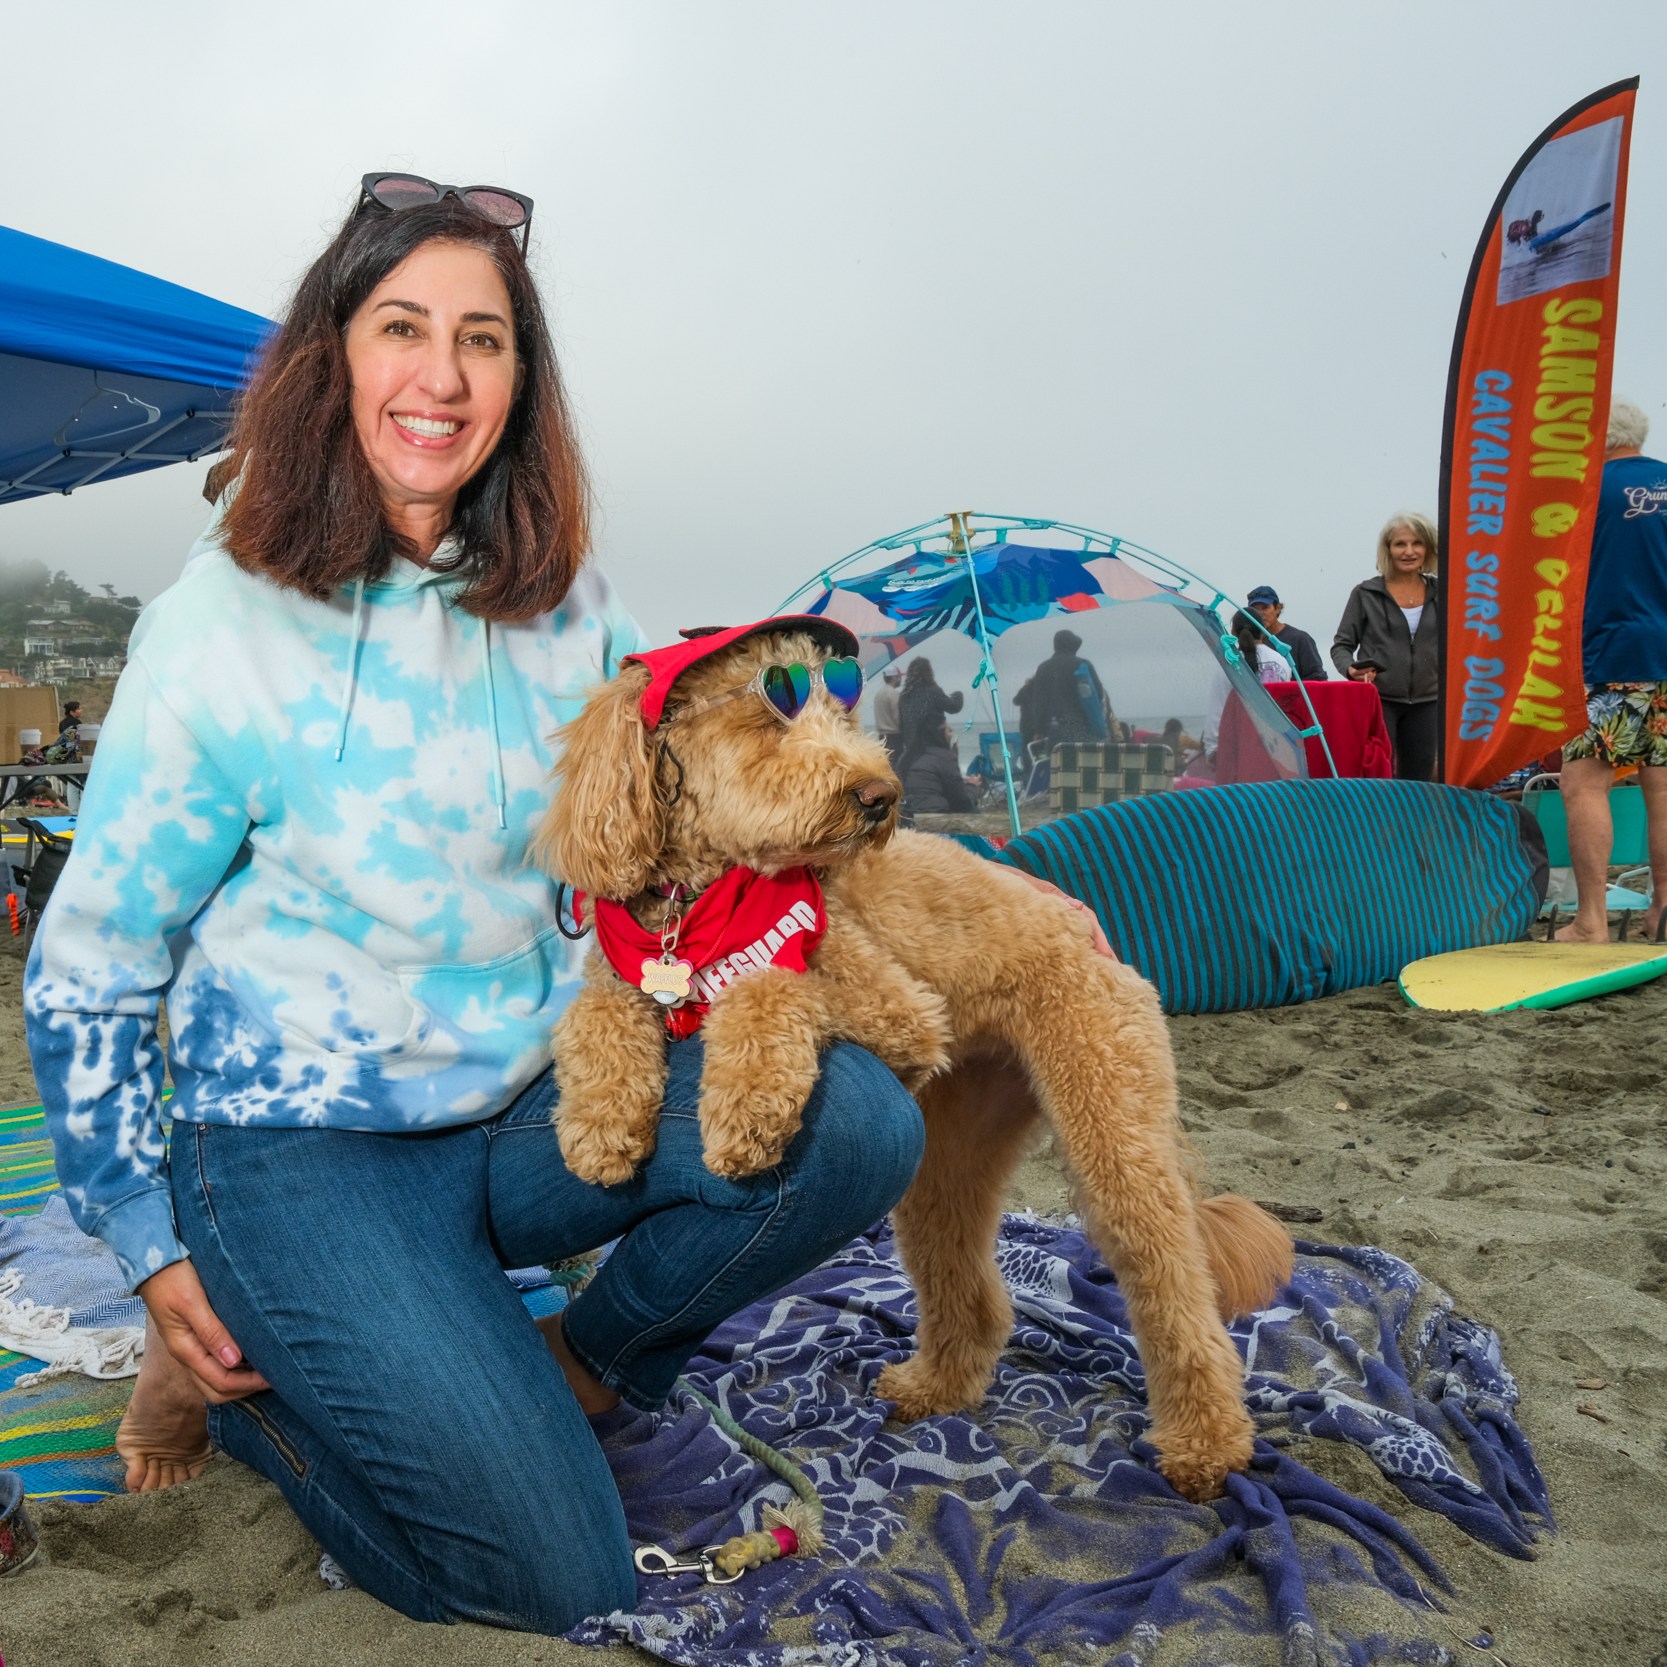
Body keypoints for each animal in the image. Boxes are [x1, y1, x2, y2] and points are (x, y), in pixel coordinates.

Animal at [533, 620, 1286, 1506]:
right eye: (766, 711)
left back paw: (1204, 1443)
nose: (877, 795)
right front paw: (599, 1120)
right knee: (972, 1280)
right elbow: (596, 1013)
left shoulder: (900, 1011)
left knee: (1174, 1282)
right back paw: (938, 1386)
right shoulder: (626, 970)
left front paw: (745, 1106)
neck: (702, 906)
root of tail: (1091, 935)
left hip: (1109, 1118)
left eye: (834, 705)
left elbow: (768, 986)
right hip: (949, 1151)